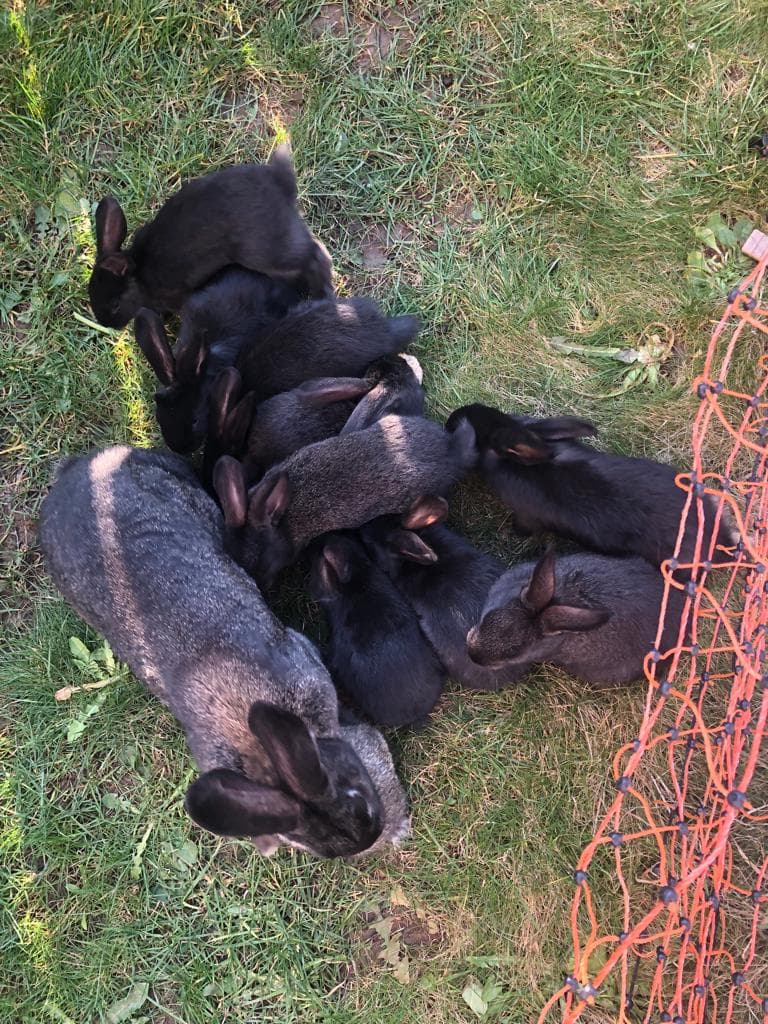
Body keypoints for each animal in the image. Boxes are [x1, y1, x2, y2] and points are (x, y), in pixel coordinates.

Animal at [89, 146, 333, 328]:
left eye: (115, 304)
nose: (108, 324)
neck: (139, 275)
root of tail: (281, 181)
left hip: (266, 253)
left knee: (315, 255)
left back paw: (323, 294)